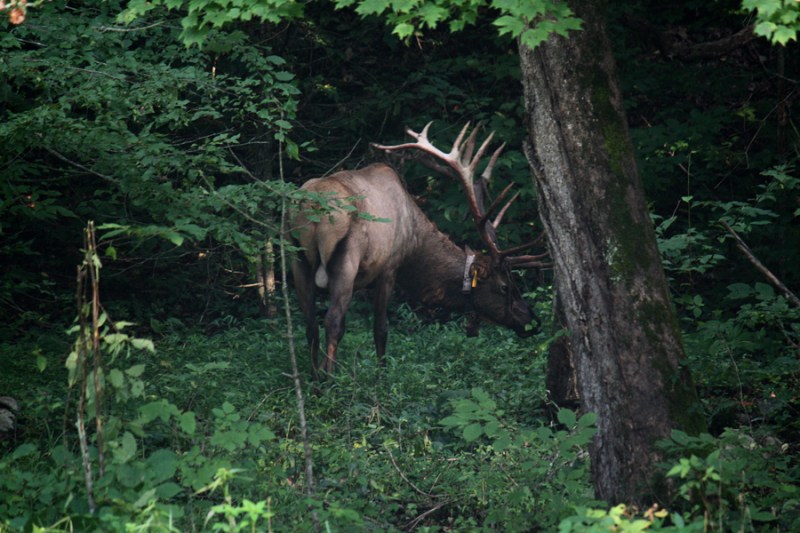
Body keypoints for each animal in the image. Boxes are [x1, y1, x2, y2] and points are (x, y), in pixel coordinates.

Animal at [290, 123, 547, 377]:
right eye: (504, 287)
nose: (533, 321)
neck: (414, 241)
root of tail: (313, 208)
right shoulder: (390, 267)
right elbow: (381, 328)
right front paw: (382, 376)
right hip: (346, 260)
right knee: (333, 321)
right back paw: (330, 380)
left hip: (296, 256)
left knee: (310, 324)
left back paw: (315, 379)